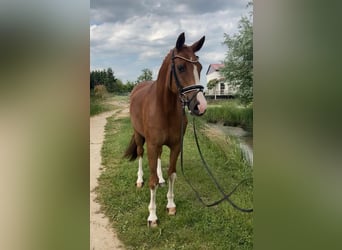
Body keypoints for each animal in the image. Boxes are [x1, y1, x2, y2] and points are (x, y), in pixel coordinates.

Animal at [124, 32, 207, 227]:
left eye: (199, 67)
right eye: (181, 67)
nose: (200, 106)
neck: (164, 108)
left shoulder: (176, 146)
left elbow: (172, 175)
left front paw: (170, 205)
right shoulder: (152, 145)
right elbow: (152, 181)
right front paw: (152, 216)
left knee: (160, 159)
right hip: (139, 136)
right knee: (140, 154)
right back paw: (139, 180)